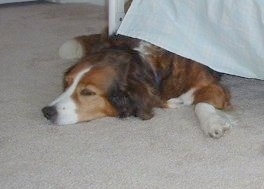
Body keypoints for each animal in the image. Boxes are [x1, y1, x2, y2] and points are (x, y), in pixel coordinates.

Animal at [41, 33, 233, 139]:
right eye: (67, 83)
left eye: (88, 92)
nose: (46, 112)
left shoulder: (211, 86)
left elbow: (200, 104)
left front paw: (212, 123)